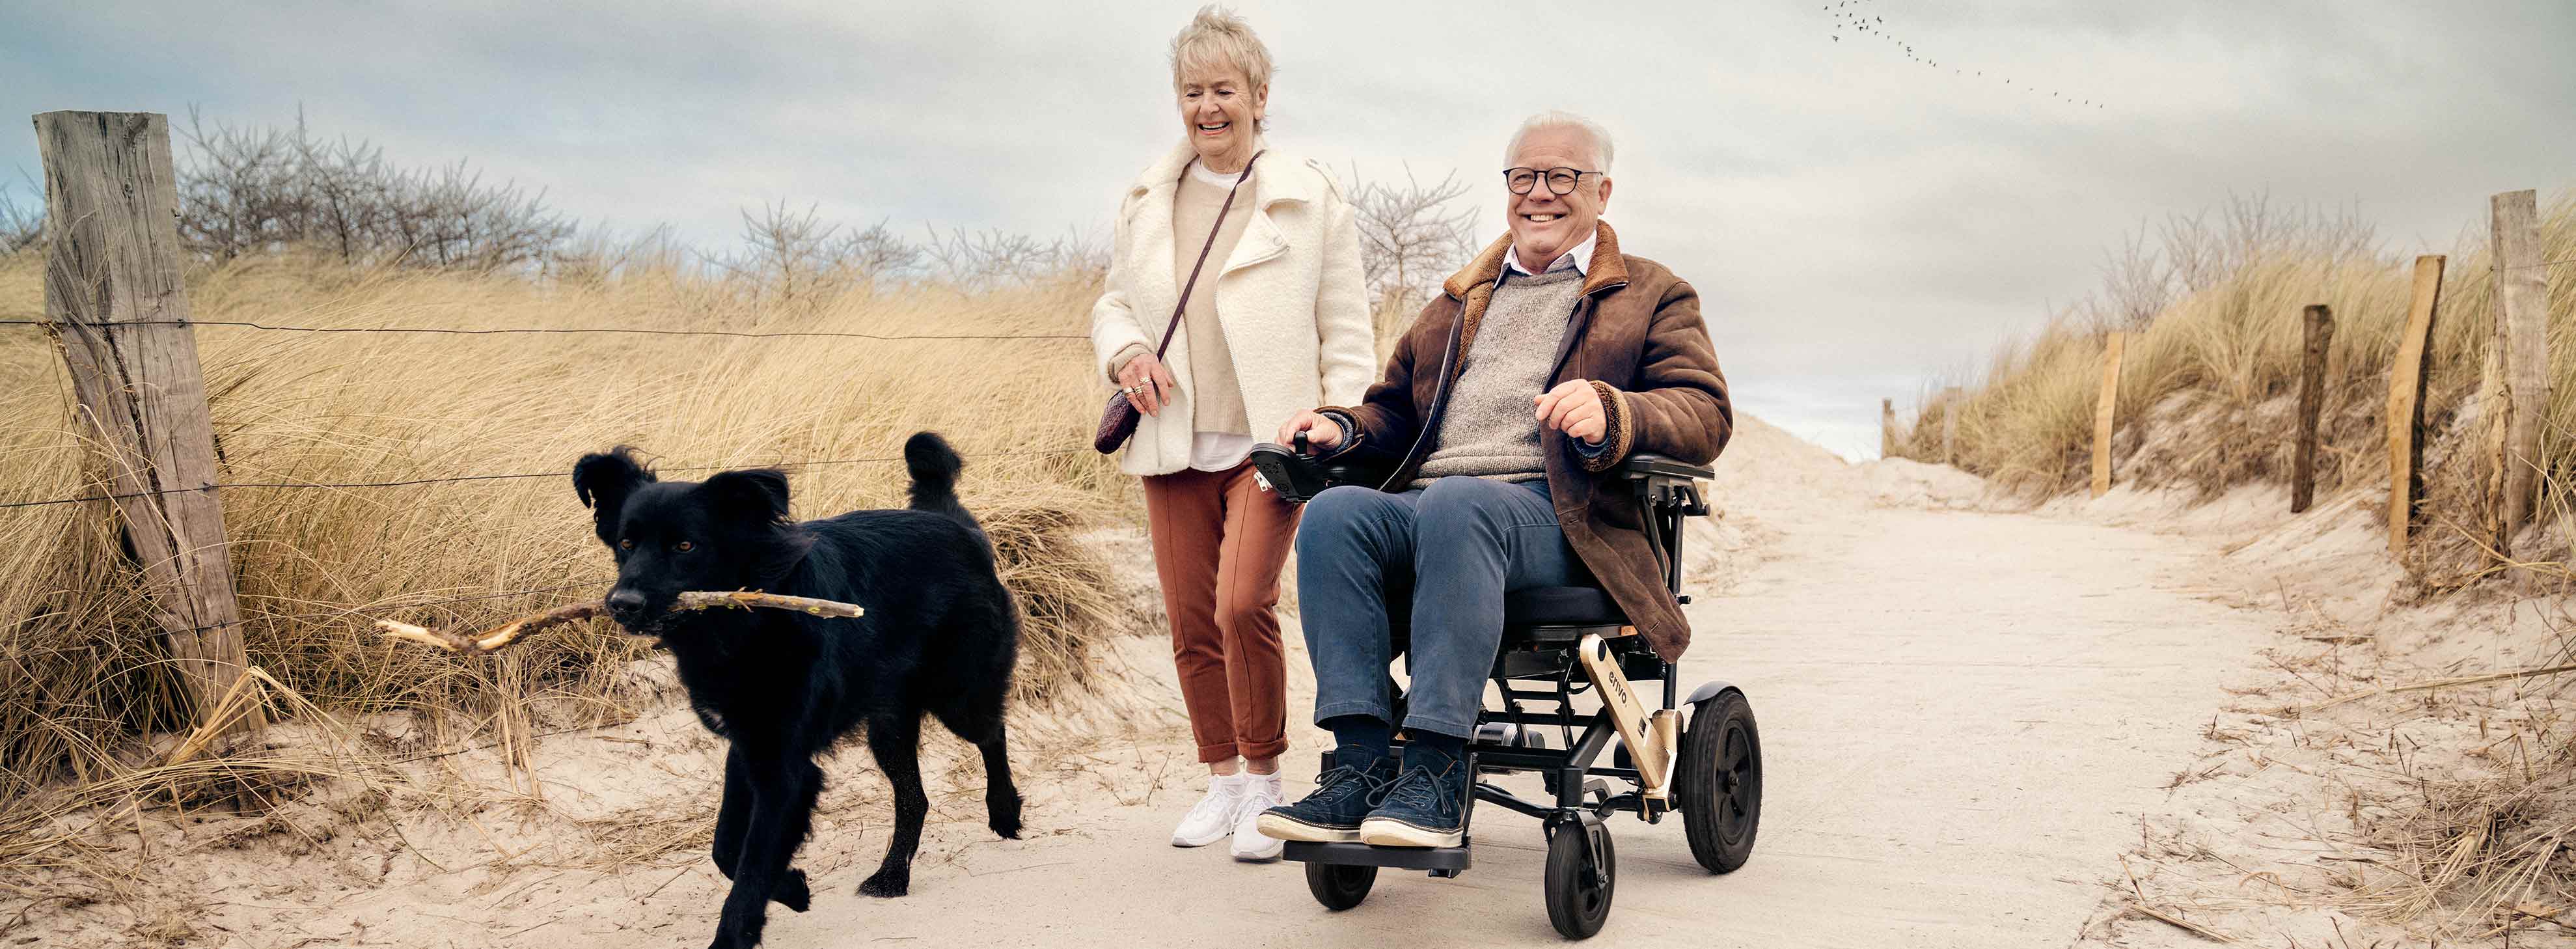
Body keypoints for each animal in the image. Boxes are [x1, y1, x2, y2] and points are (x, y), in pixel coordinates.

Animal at [574, 433, 1025, 944]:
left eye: (686, 545)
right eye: (626, 543)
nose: (622, 604)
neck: (742, 623)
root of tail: (957, 525)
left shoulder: (784, 765)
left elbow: (751, 865)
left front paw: (736, 934)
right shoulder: (749, 744)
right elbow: (727, 848)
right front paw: (793, 887)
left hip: (958, 695)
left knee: (992, 733)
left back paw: (1004, 812)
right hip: (888, 725)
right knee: (915, 798)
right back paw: (892, 876)